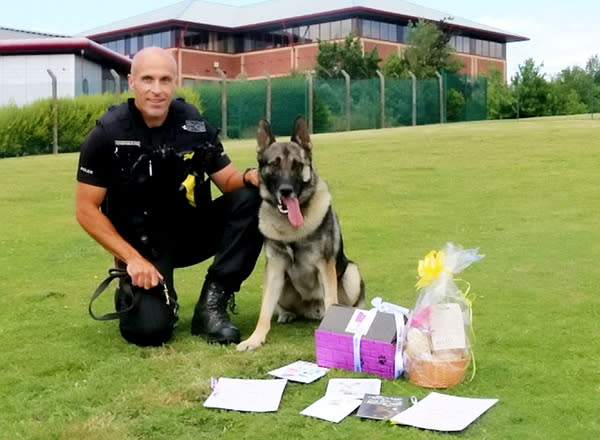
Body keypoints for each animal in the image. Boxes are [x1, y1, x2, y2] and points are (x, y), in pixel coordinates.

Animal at [237, 116, 364, 350]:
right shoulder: (275, 269)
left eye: (297, 165)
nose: (286, 190)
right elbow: (264, 311)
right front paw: (254, 339)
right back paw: (287, 314)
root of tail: (312, 311)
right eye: (274, 164)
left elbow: (331, 299)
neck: (292, 228)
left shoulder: (325, 266)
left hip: (351, 273)